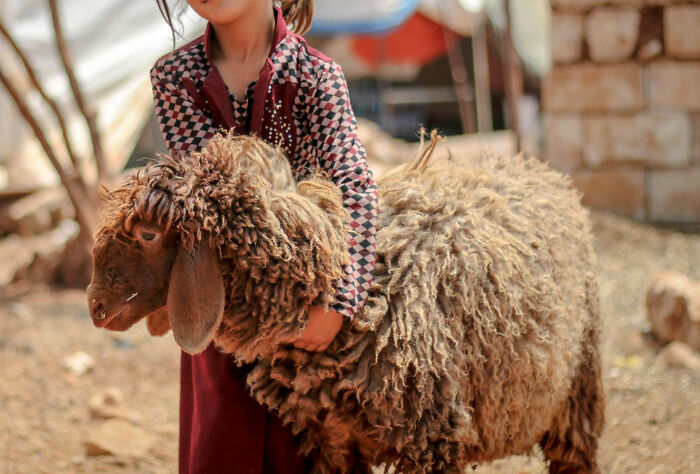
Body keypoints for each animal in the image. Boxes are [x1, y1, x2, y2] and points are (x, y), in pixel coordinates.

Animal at [87, 132, 605, 473]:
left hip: (578, 387)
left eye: (148, 234)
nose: (94, 307)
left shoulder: (431, 439)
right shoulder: (330, 437)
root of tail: (538, 167)